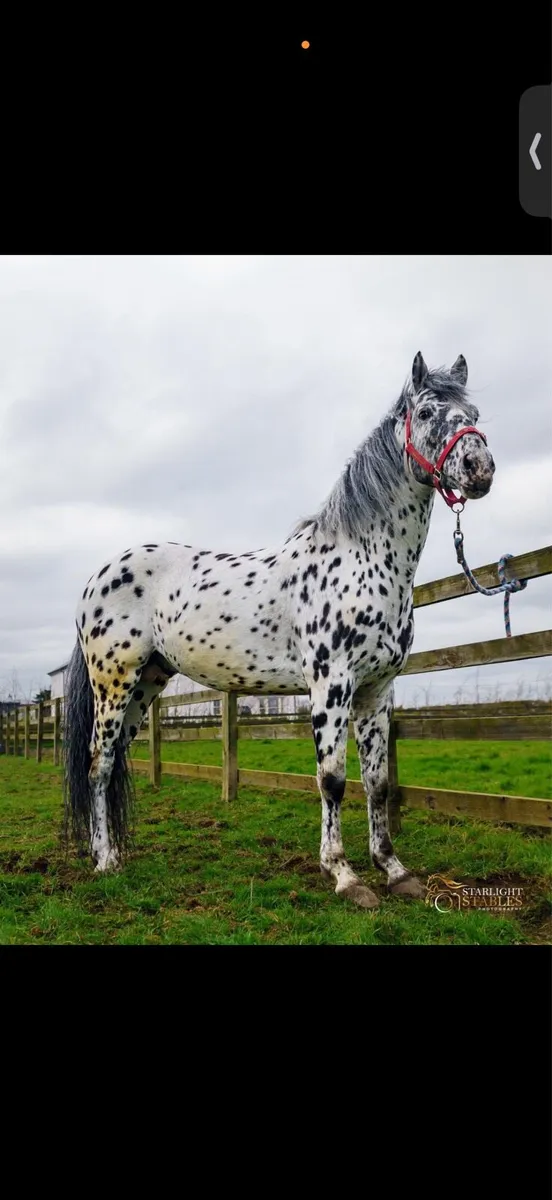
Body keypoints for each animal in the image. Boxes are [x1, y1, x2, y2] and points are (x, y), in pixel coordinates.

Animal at [63, 352, 495, 907]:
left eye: (474, 412)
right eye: (424, 413)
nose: (479, 468)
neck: (363, 560)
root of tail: (97, 577)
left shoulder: (377, 691)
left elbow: (377, 782)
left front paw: (394, 870)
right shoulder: (331, 685)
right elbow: (332, 780)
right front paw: (345, 876)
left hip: (148, 682)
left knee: (115, 762)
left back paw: (114, 851)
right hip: (113, 684)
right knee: (98, 764)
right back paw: (105, 861)